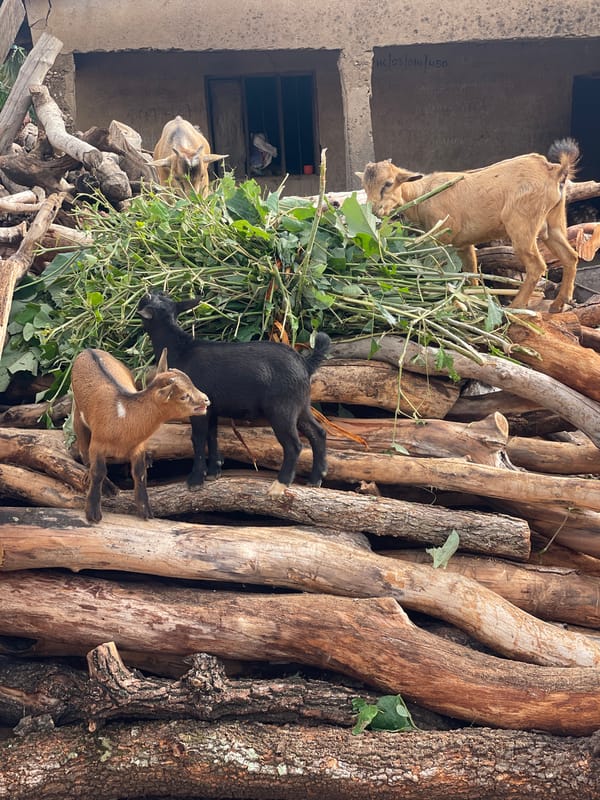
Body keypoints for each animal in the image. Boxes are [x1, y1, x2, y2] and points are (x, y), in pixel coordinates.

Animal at [71, 347, 210, 523]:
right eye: (184, 396)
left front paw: (146, 511)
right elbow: (98, 472)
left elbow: (140, 473)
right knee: (83, 451)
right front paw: (93, 513)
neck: (123, 417)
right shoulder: (97, 444)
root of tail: (88, 350)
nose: (206, 400)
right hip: (77, 415)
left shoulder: (138, 446)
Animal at [137, 291, 330, 498]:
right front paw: (213, 472)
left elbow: (198, 438)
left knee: (294, 445)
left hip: (282, 409)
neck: (180, 349)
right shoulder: (210, 407)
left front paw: (195, 480)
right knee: (318, 432)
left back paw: (279, 485)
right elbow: (211, 435)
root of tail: (305, 364)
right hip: (301, 404)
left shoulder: (197, 406)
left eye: (146, 299)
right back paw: (316, 478)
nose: (146, 292)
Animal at [358, 139, 580, 312]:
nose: (374, 211)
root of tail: (555, 171)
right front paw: (475, 297)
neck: (423, 194)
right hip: (553, 223)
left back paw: (515, 306)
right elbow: (471, 270)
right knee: (570, 256)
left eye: (388, 183)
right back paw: (558, 304)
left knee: (536, 265)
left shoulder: (442, 237)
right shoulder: (462, 243)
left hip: (522, 224)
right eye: (365, 187)